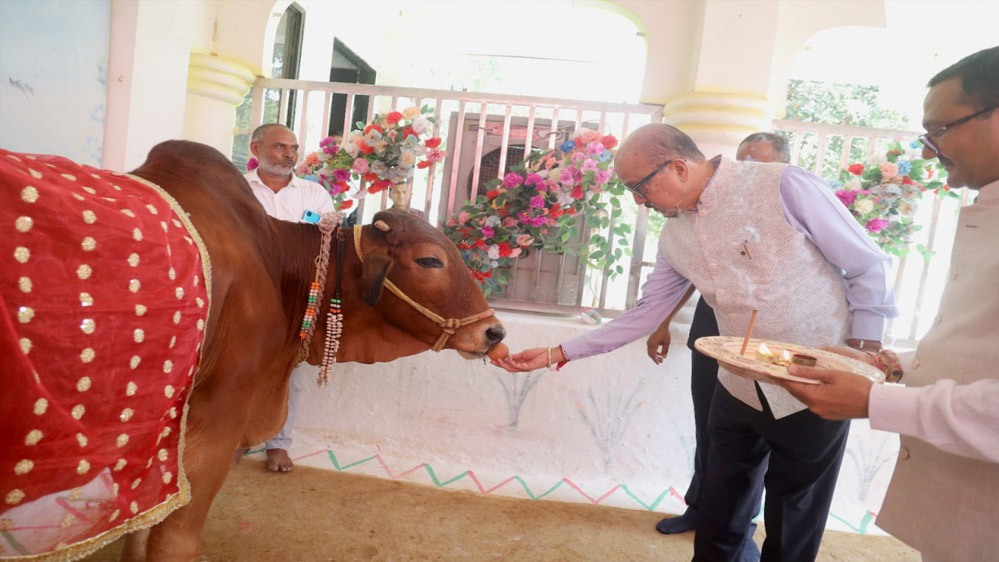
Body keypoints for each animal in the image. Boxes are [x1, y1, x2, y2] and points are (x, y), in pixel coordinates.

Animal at [0, 141, 500, 560]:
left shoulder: (148, 438)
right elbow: (172, 541)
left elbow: (137, 535)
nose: (494, 333)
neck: (275, 260)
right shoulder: (213, 423)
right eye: (430, 259)